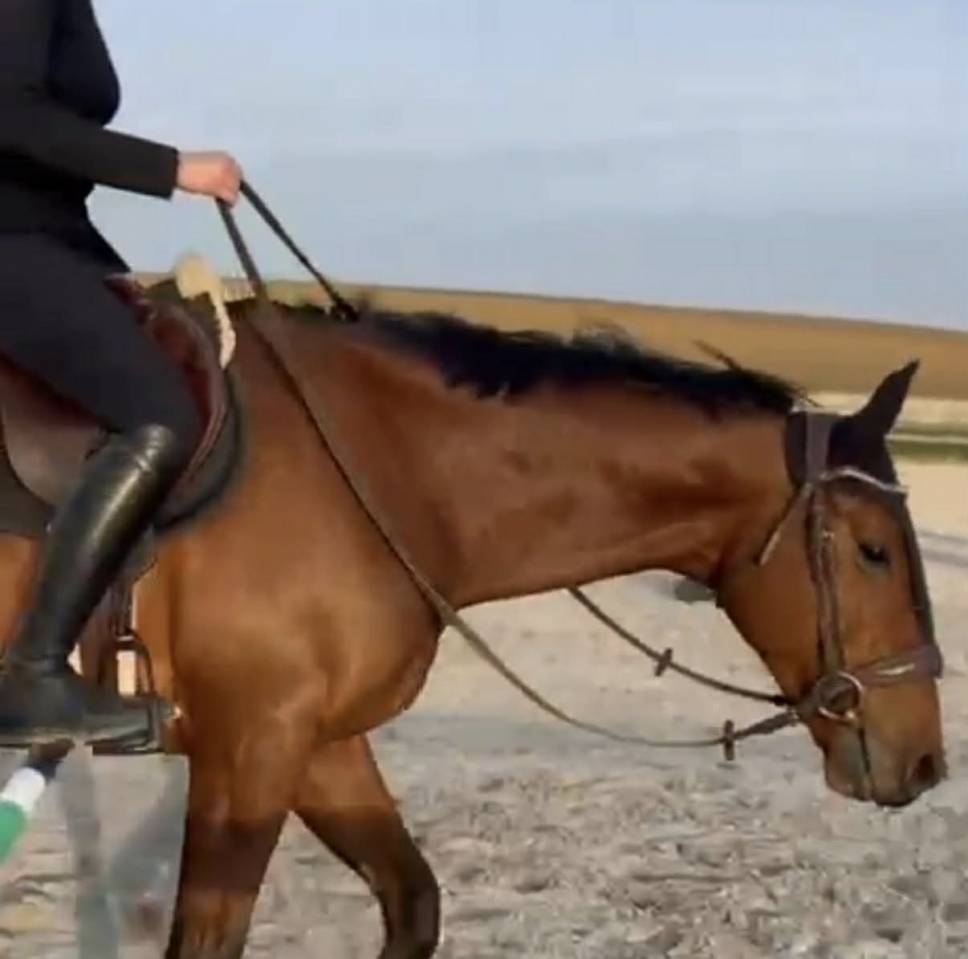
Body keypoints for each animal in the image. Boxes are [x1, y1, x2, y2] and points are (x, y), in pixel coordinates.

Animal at [0, 291, 945, 959]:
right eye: (873, 550)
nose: (928, 763)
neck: (381, 463)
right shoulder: (250, 744)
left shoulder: (317, 742)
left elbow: (414, 903)